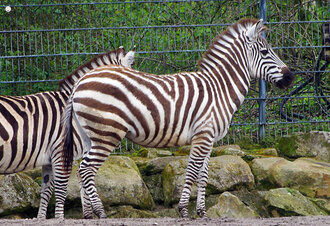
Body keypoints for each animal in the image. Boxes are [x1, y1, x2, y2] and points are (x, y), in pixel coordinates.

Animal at [0, 46, 135, 219]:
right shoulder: (61, 152)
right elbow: (61, 189)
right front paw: (60, 218)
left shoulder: (49, 158)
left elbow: (46, 191)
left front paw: (41, 218)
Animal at [62, 18, 294, 219]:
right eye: (265, 51)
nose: (290, 77)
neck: (219, 88)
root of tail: (80, 82)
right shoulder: (203, 135)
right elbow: (191, 172)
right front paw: (183, 210)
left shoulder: (208, 138)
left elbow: (204, 175)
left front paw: (202, 213)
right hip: (107, 133)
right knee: (86, 170)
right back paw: (100, 213)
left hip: (90, 136)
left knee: (81, 169)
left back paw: (89, 214)